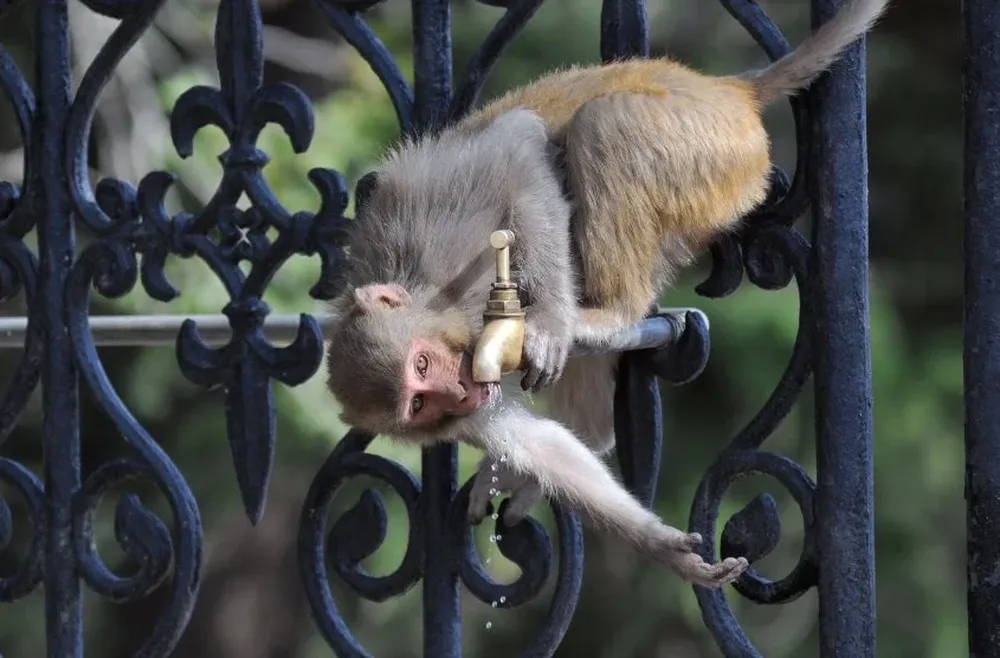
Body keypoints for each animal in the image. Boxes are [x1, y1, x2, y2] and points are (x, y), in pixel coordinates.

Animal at [324, 0, 888, 588]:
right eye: (419, 403)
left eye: (423, 366)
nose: (455, 395)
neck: (436, 305)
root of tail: (732, 91)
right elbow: (539, 446)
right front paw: (665, 548)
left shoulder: (442, 240)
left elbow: (519, 150)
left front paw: (551, 321)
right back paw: (588, 431)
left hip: (707, 149)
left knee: (605, 123)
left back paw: (608, 315)